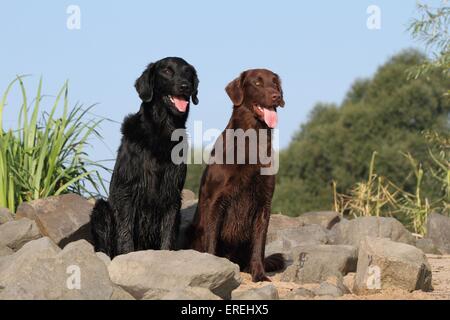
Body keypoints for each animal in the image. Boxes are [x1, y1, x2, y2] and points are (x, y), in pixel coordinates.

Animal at [90, 57, 198, 258]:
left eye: (188, 72)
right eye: (167, 71)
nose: (185, 86)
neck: (164, 131)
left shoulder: (172, 194)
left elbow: (168, 233)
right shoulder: (127, 190)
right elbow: (125, 232)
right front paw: (126, 255)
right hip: (101, 209)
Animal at [190, 69, 284, 282]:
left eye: (275, 83)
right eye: (257, 83)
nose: (277, 96)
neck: (252, 141)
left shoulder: (264, 203)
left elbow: (259, 244)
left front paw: (259, 274)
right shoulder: (215, 200)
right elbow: (211, 239)